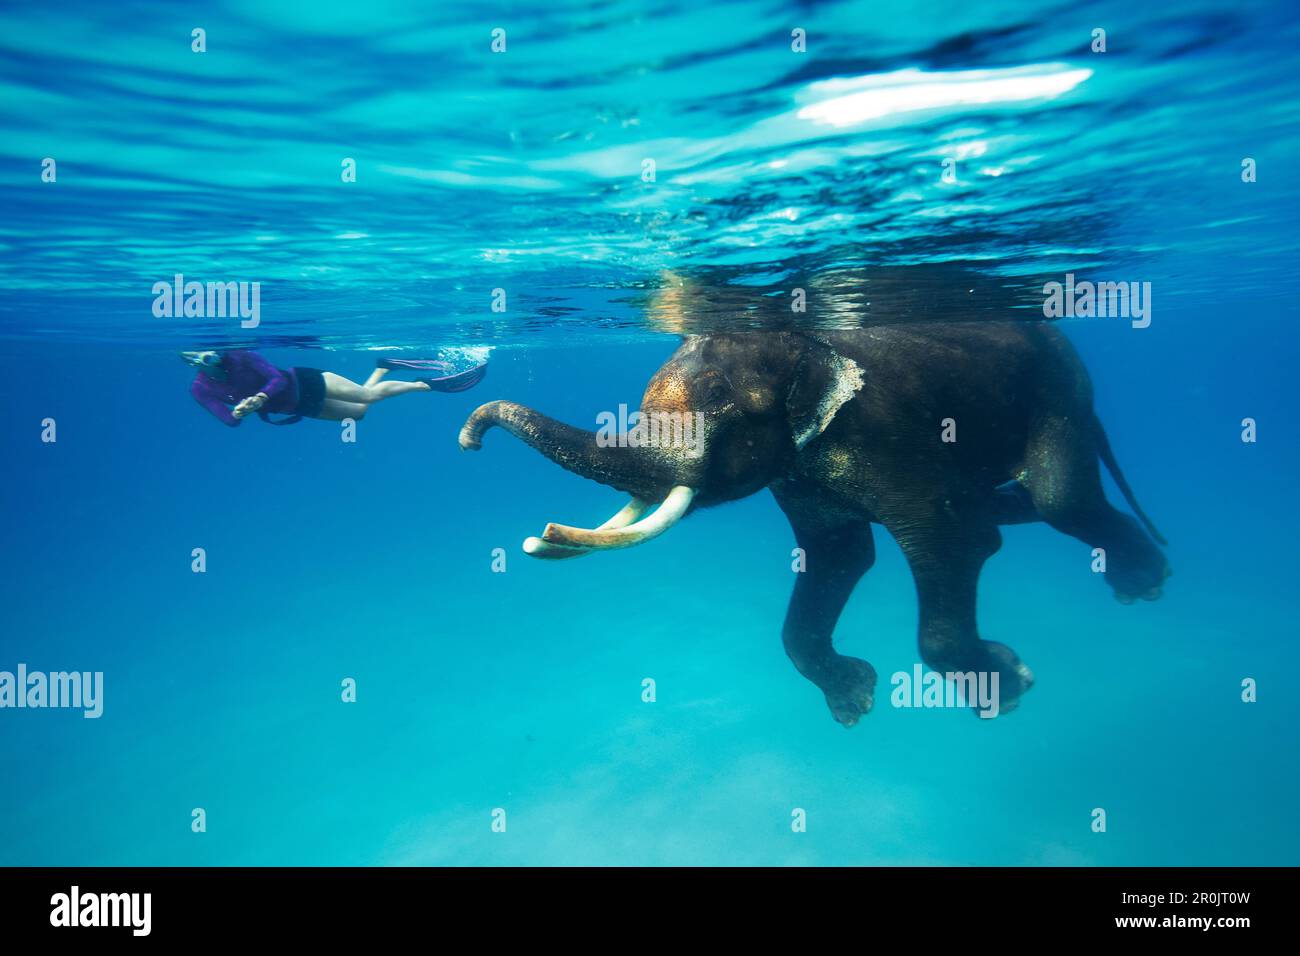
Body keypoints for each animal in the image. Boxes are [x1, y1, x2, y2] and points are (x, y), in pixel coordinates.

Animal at [459, 322, 1170, 726]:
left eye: (725, 411)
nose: (470, 436)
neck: (810, 351)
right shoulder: (799, 477)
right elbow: (840, 557)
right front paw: (856, 701)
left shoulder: (886, 436)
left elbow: (952, 541)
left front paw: (1010, 687)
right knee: (1011, 503)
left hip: (1062, 393)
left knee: (1058, 500)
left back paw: (1146, 582)